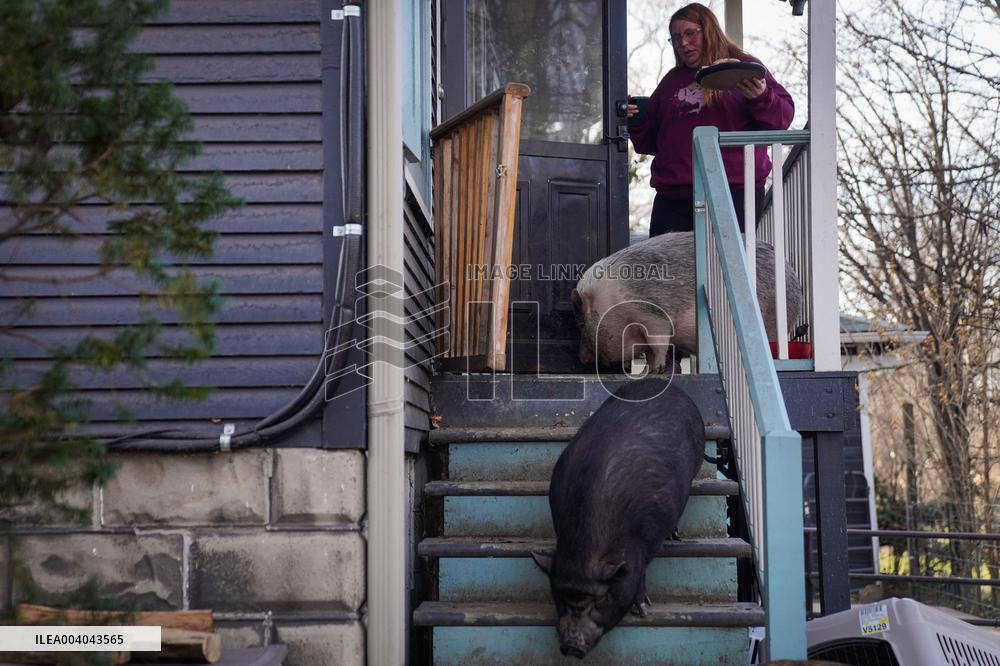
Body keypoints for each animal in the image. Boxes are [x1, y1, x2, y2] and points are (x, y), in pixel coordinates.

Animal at [531, 378, 705, 658]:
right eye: (558, 595)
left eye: (601, 599)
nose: (571, 646)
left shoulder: (648, 538)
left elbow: (641, 570)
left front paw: (643, 610)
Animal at [572, 231, 801, 372]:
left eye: (581, 324)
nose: (580, 357)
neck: (609, 302)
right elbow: (648, 350)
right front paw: (648, 370)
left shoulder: (650, 312)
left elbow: (658, 342)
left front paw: (657, 370)